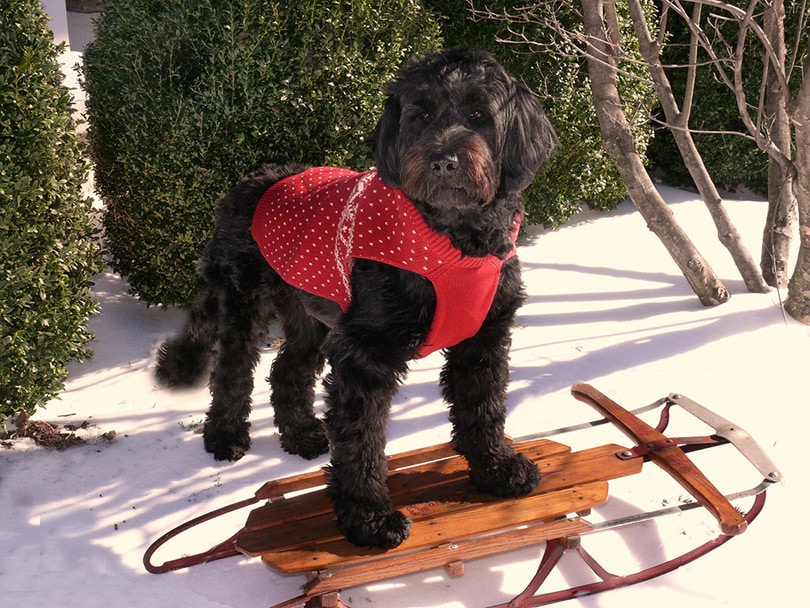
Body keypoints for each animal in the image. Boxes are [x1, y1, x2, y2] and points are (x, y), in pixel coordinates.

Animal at [159, 50, 560, 548]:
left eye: (478, 115)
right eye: (420, 115)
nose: (444, 162)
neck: (450, 240)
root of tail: (250, 181)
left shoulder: (483, 337)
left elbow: (483, 407)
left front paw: (497, 470)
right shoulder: (364, 353)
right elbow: (362, 439)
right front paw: (368, 517)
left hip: (311, 312)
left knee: (288, 369)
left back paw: (302, 435)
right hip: (242, 301)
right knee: (232, 371)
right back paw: (225, 436)